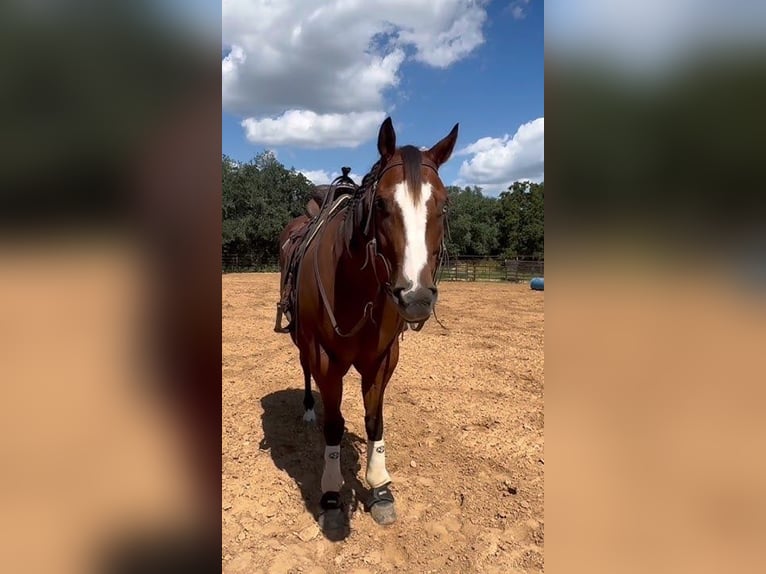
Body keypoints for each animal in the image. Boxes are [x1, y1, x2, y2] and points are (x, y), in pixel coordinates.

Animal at [277, 117, 458, 535]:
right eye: (381, 204)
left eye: (442, 205)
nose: (416, 297)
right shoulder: (325, 358)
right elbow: (334, 425)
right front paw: (331, 496)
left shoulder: (383, 359)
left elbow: (375, 421)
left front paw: (380, 489)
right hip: (302, 341)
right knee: (305, 372)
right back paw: (308, 410)